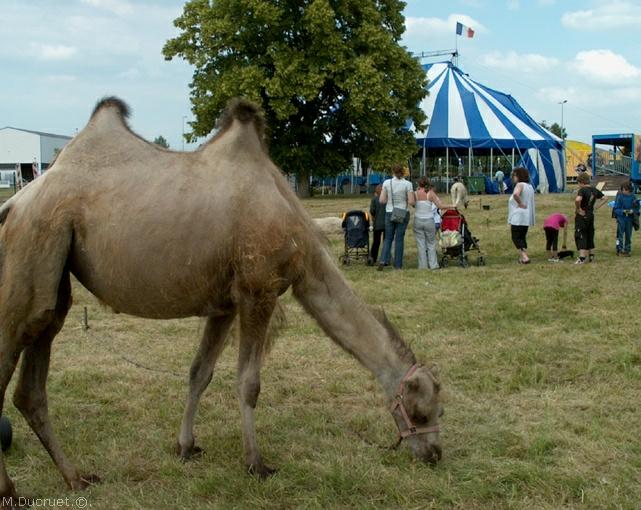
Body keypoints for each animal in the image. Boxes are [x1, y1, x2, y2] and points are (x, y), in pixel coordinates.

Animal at [0, 96, 440, 502]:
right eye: (421, 410)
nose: (434, 453)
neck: (300, 241)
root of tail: (15, 203)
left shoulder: (224, 305)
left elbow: (200, 373)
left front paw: (186, 447)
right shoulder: (258, 291)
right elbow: (249, 383)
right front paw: (256, 464)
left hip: (54, 278)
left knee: (32, 379)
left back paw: (75, 478)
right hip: (35, 243)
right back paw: (13, 490)